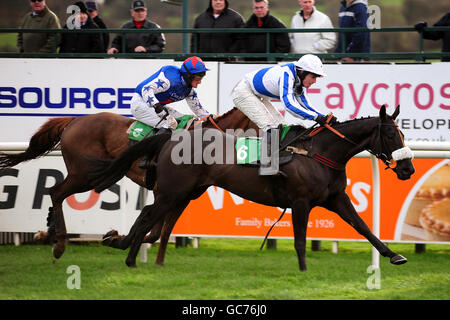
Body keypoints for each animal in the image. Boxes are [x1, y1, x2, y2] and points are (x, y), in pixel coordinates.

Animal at [0, 109, 256, 258]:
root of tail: (74, 120)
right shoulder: (164, 192)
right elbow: (151, 229)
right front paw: (116, 238)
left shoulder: (176, 196)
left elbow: (153, 234)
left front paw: (114, 237)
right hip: (86, 174)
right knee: (56, 191)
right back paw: (59, 244)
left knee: (57, 195)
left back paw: (47, 232)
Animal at [89, 105, 414, 270]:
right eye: (391, 135)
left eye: (402, 133)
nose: (408, 169)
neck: (320, 152)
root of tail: (172, 136)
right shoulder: (301, 201)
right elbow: (299, 239)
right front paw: (303, 270)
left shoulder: (335, 198)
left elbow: (363, 226)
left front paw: (393, 255)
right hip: (173, 190)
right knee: (148, 214)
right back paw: (125, 251)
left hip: (186, 192)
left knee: (153, 216)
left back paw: (127, 250)